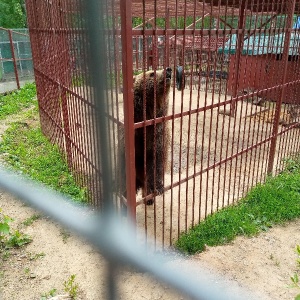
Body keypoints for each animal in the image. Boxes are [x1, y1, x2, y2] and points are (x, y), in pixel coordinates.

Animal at [118, 66, 172, 206]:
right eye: (152, 73)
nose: (168, 70)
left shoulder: (158, 136)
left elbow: (156, 163)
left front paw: (158, 187)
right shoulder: (131, 140)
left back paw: (149, 198)